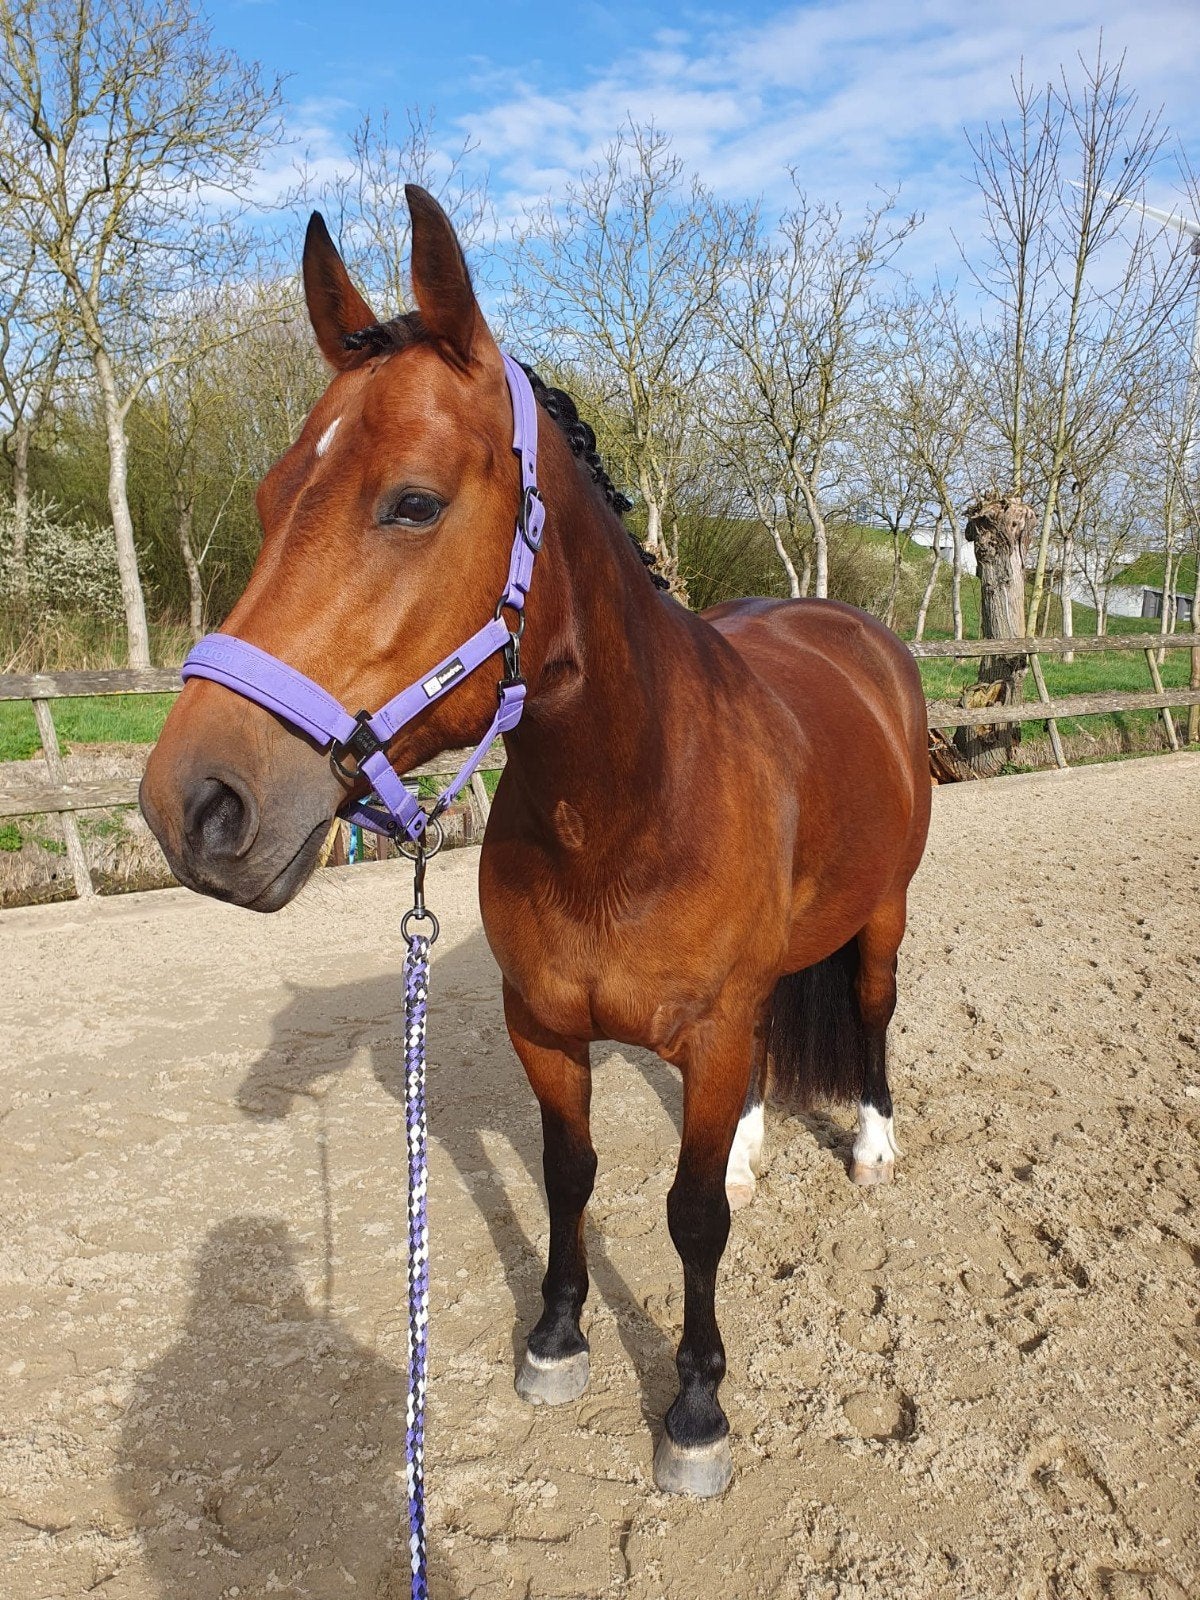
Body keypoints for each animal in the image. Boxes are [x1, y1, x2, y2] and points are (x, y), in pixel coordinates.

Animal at [139, 185, 931, 1498]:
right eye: (265, 498)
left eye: (412, 500)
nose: (192, 806)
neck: (623, 814)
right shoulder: (547, 1028)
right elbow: (573, 1178)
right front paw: (557, 1337)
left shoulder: (708, 1029)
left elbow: (690, 1219)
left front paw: (695, 1407)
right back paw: (753, 1147)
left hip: (881, 914)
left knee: (867, 1014)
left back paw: (868, 1142)